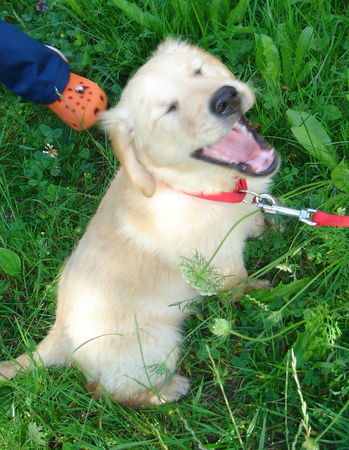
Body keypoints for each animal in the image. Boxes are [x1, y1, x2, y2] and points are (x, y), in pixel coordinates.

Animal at [0, 40, 278, 406]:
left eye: (199, 70)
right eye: (168, 110)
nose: (225, 97)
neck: (195, 185)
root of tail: (59, 335)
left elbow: (254, 219)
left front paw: (263, 228)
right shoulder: (218, 264)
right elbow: (238, 285)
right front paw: (259, 294)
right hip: (158, 344)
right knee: (112, 391)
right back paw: (168, 391)